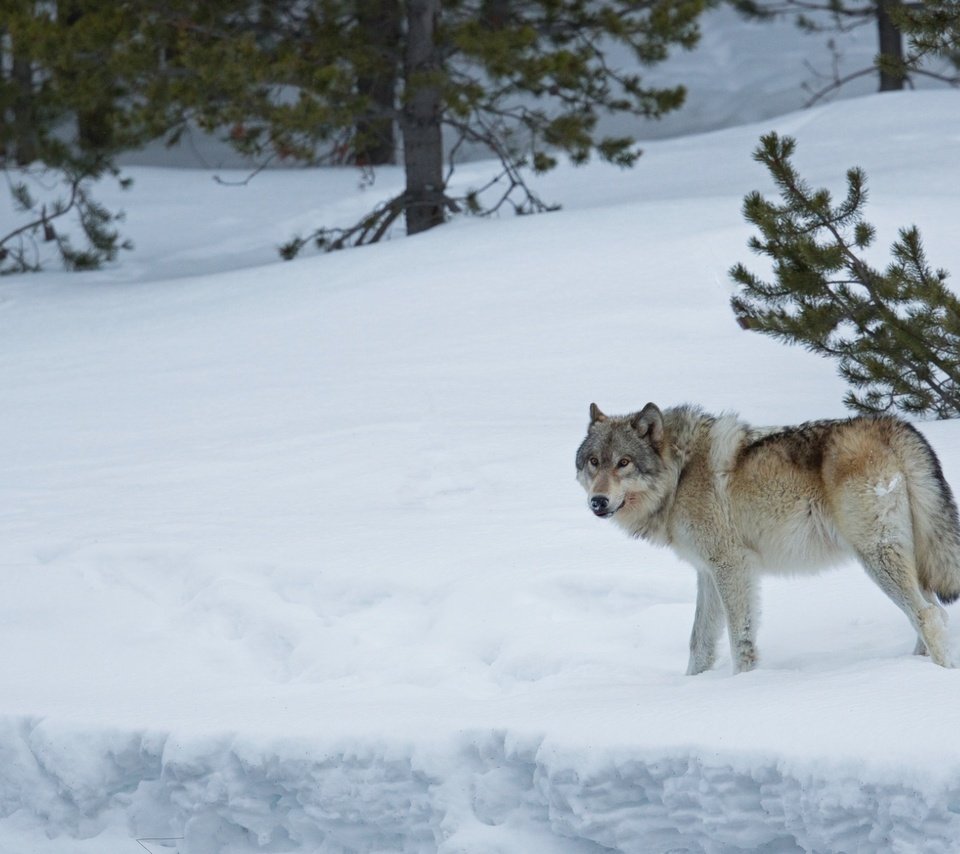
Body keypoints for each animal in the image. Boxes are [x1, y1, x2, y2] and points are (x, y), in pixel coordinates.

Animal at [576, 404, 960, 680]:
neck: (680, 474)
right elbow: (699, 642)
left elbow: (740, 637)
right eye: (594, 462)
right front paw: (692, 686)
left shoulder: (732, 566)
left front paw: (744, 685)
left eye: (624, 463)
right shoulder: (707, 573)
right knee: (932, 613)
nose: (597, 502)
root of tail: (893, 425)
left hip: (875, 556)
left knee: (929, 614)